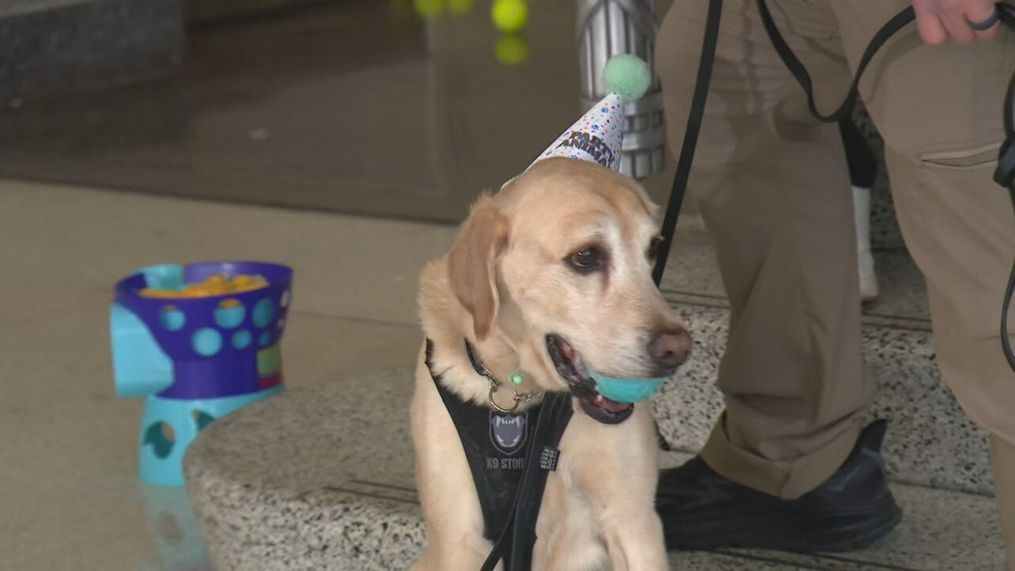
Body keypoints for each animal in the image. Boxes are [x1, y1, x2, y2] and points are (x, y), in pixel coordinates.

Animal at [410, 157, 690, 571]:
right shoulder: (459, 539)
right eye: (586, 256)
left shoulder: (633, 520)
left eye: (653, 249)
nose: (679, 349)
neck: (521, 391)